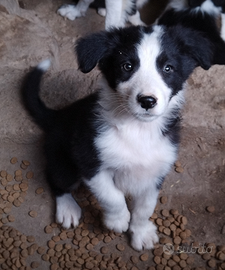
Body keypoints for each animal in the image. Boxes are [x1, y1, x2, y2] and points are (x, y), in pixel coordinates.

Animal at [22, 24, 213, 250]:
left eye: (168, 68)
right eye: (127, 66)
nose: (147, 101)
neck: (137, 129)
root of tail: (58, 115)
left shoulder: (156, 171)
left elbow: (145, 207)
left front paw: (141, 232)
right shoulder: (89, 161)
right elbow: (112, 196)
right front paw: (118, 220)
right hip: (64, 163)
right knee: (55, 178)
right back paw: (67, 208)